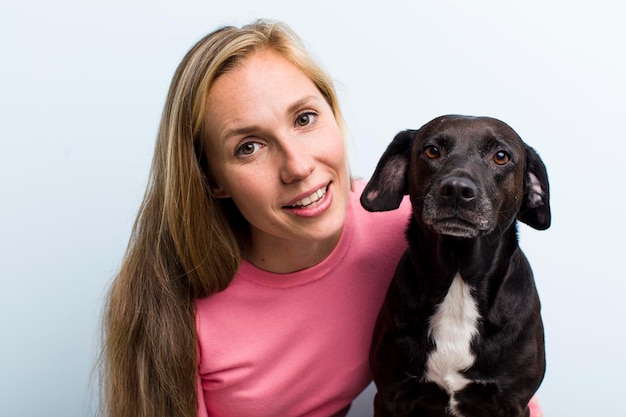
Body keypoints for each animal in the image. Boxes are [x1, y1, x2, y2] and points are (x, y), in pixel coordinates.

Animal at [360, 114, 544, 416]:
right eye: (432, 151)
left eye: (501, 156)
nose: (457, 190)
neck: (458, 276)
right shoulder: (390, 394)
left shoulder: (513, 402)